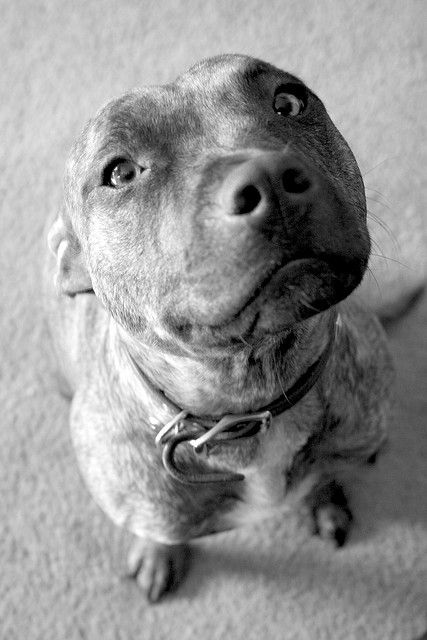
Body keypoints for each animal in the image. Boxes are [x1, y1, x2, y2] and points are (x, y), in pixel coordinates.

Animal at [46, 53, 394, 600]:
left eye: (289, 101)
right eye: (120, 172)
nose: (270, 177)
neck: (251, 405)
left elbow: (321, 476)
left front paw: (323, 497)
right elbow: (159, 531)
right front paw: (158, 553)